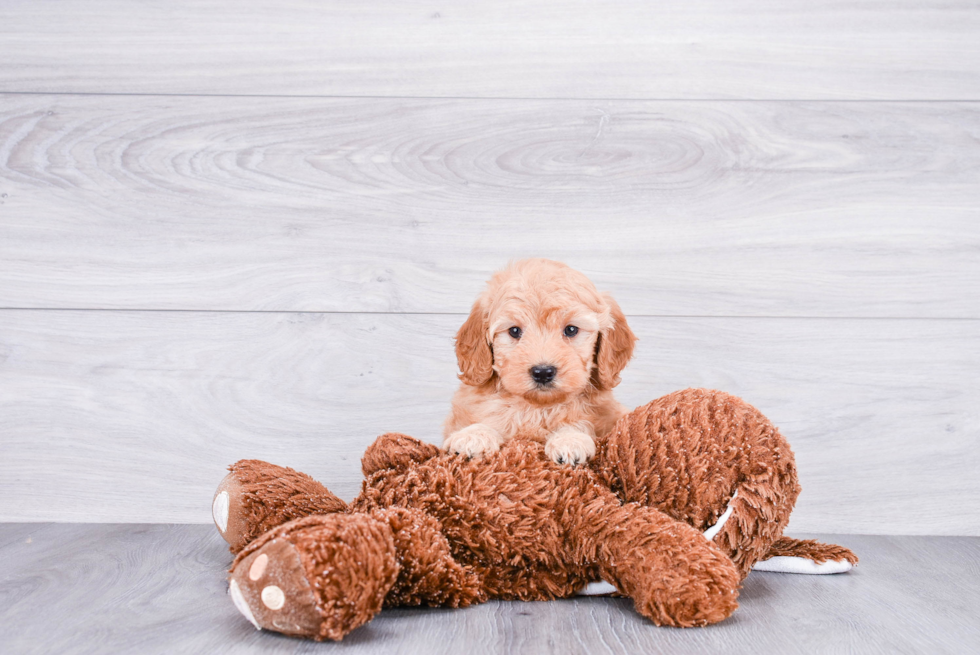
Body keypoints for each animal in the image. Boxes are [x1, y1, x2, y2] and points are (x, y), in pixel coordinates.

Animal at [442, 258, 636, 464]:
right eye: (514, 331)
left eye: (571, 330)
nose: (543, 372)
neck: (537, 408)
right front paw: (473, 436)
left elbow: (580, 422)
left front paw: (570, 439)